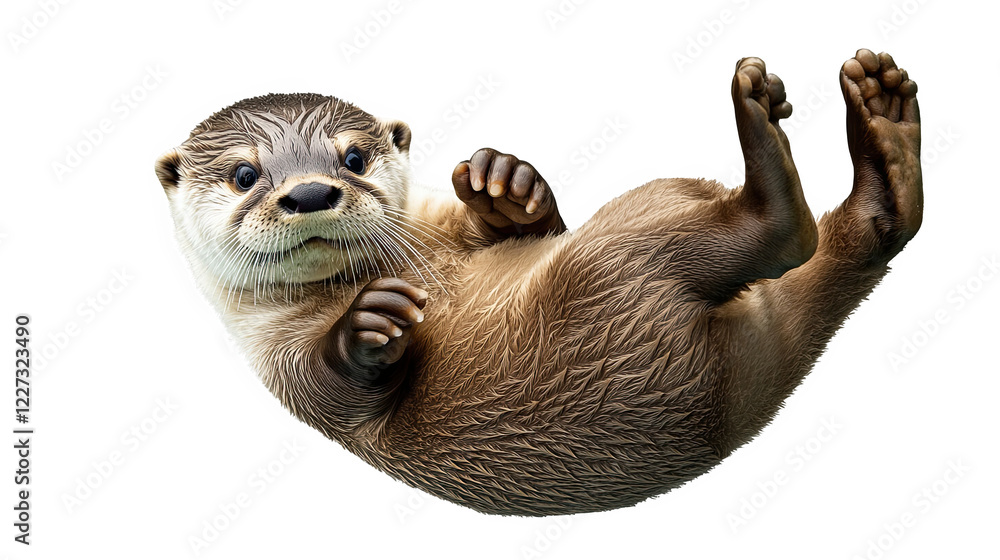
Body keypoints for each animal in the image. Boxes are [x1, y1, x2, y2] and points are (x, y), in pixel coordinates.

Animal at [154, 49, 921, 516]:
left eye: (354, 158)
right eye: (245, 174)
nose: (311, 192)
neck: (415, 264)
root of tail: (736, 400)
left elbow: (531, 226)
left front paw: (506, 183)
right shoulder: (277, 359)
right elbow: (341, 392)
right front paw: (369, 326)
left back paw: (884, 118)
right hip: (615, 264)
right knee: (780, 237)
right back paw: (774, 159)